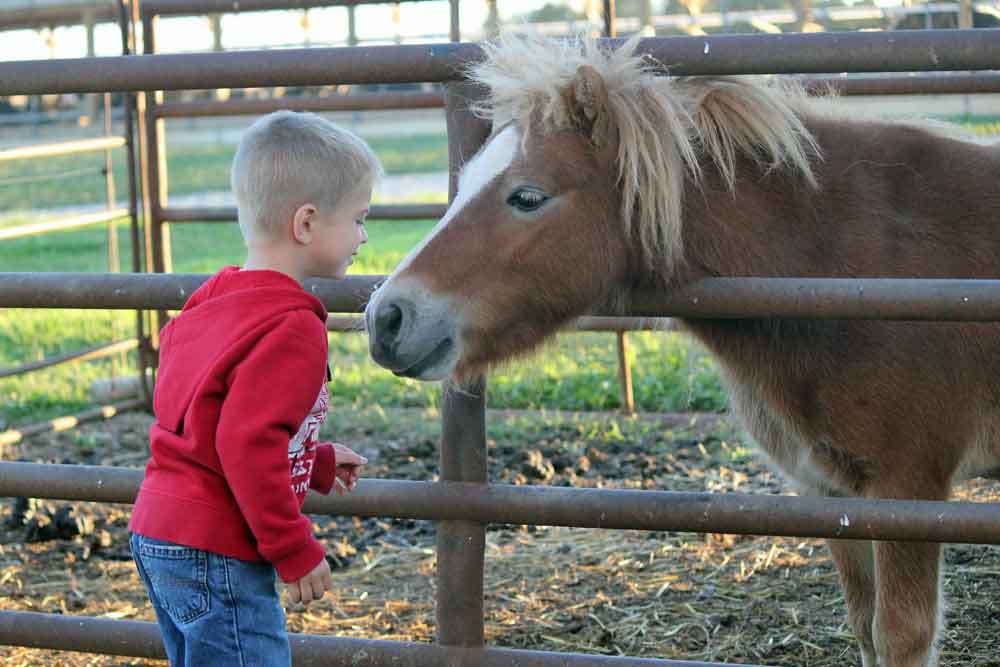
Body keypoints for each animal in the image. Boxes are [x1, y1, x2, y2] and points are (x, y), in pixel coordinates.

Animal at [366, 36, 1000, 667]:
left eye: (527, 196)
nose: (386, 319)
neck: (852, 264)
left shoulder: (908, 487)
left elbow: (898, 634)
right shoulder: (832, 492)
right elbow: (865, 627)